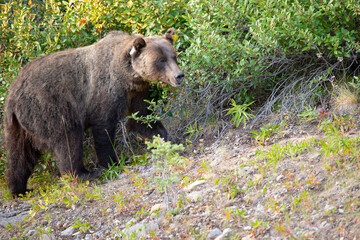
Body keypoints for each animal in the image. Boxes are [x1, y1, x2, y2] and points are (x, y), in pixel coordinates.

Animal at [4, 28, 186, 197]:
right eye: (161, 60)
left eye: (174, 56)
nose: (179, 75)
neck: (128, 76)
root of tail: (13, 94)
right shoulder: (104, 92)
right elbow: (103, 129)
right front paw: (112, 162)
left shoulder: (137, 93)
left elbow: (142, 118)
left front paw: (165, 140)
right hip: (50, 106)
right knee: (68, 139)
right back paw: (84, 174)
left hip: (17, 124)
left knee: (20, 154)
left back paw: (19, 188)